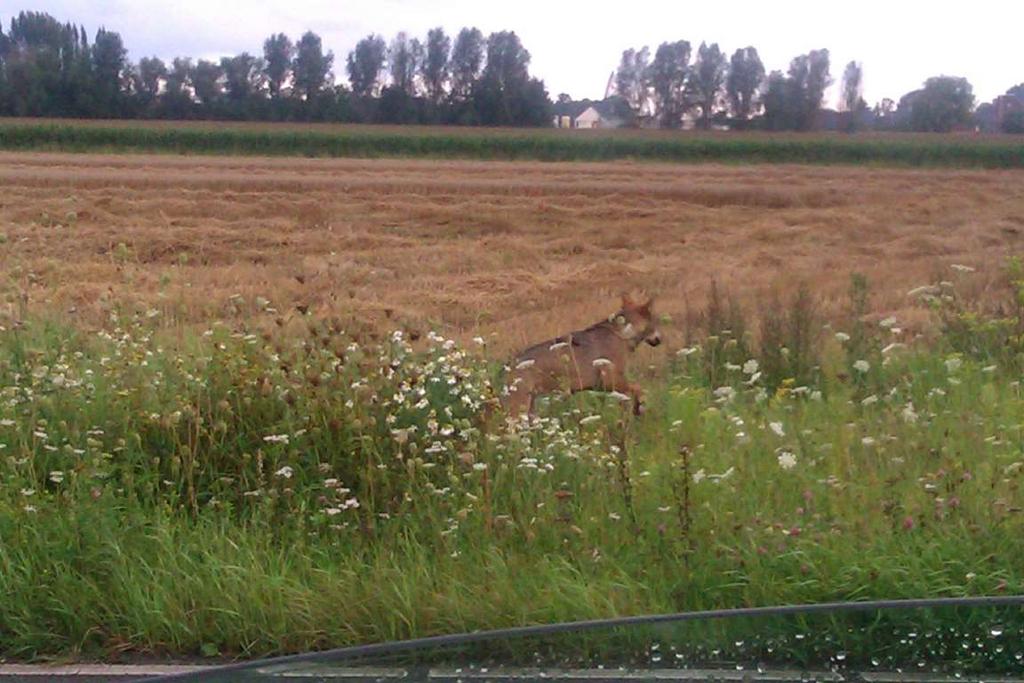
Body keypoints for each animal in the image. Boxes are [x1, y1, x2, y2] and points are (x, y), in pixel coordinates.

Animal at [499, 294, 659, 417]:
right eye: (656, 322)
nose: (659, 339)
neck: (622, 334)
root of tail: (508, 366)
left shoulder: (601, 387)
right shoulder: (610, 381)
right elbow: (638, 388)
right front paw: (638, 408)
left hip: (530, 408)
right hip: (519, 408)